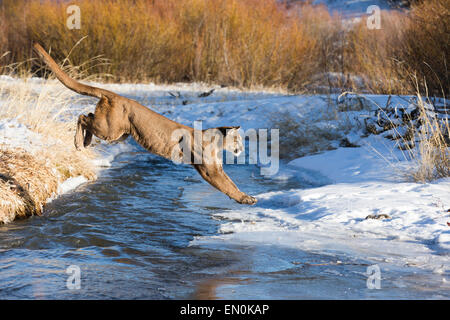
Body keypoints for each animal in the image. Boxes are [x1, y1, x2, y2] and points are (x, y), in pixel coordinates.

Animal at [32, 42, 256, 204]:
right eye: (238, 139)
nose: (242, 148)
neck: (216, 141)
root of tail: (115, 95)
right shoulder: (210, 170)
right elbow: (227, 186)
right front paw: (245, 199)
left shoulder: (217, 168)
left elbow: (231, 183)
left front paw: (248, 197)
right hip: (110, 130)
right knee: (82, 117)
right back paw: (79, 142)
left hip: (118, 132)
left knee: (87, 114)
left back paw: (84, 142)